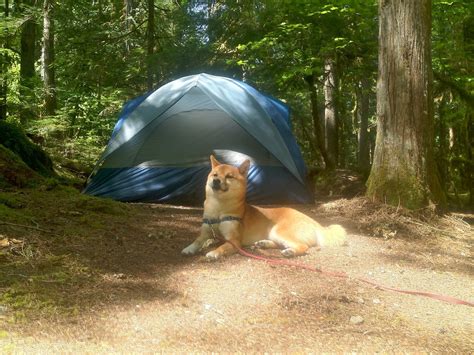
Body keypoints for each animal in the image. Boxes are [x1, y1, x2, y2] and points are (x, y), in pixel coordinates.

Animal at [180, 156, 346, 262]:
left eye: (229, 176)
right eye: (215, 174)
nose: (215, 181)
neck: (219, 209)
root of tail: (314, 222)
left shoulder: (234, 241)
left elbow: (222, 246)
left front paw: (214, 252)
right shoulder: (206, 231)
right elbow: (198, 240)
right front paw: (189, 248)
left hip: (278, 231)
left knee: (302, 246)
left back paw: (290, 252)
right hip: (274, 233)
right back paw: (263, 244)